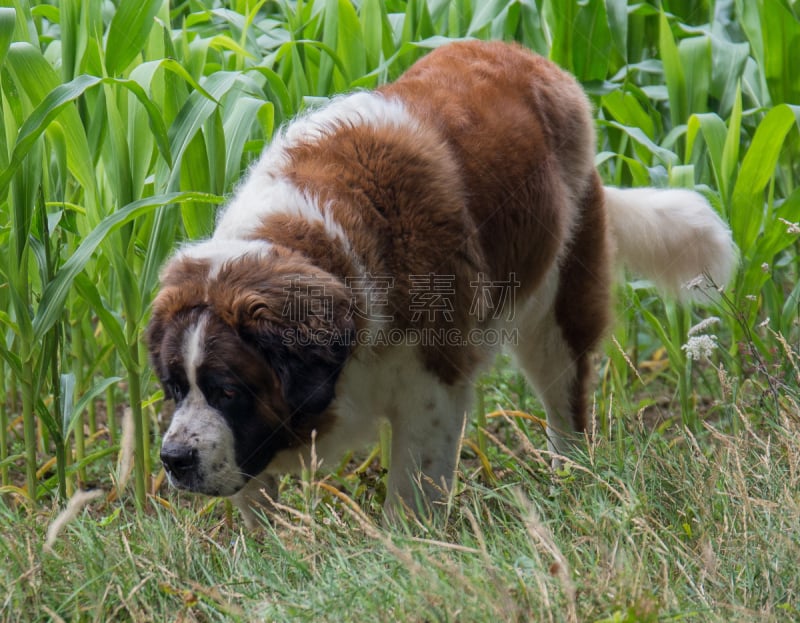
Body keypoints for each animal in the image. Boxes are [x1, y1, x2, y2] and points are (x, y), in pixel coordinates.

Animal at [147, 40, 736, 528]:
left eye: (228, 390)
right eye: (175, 388)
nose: (173, 459)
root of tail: (536, 61)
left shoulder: (431, 382)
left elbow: (413, 485)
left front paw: (406, 550)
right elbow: (255, 495)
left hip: (556, 307)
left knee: (563, 397)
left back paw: (570, 476)